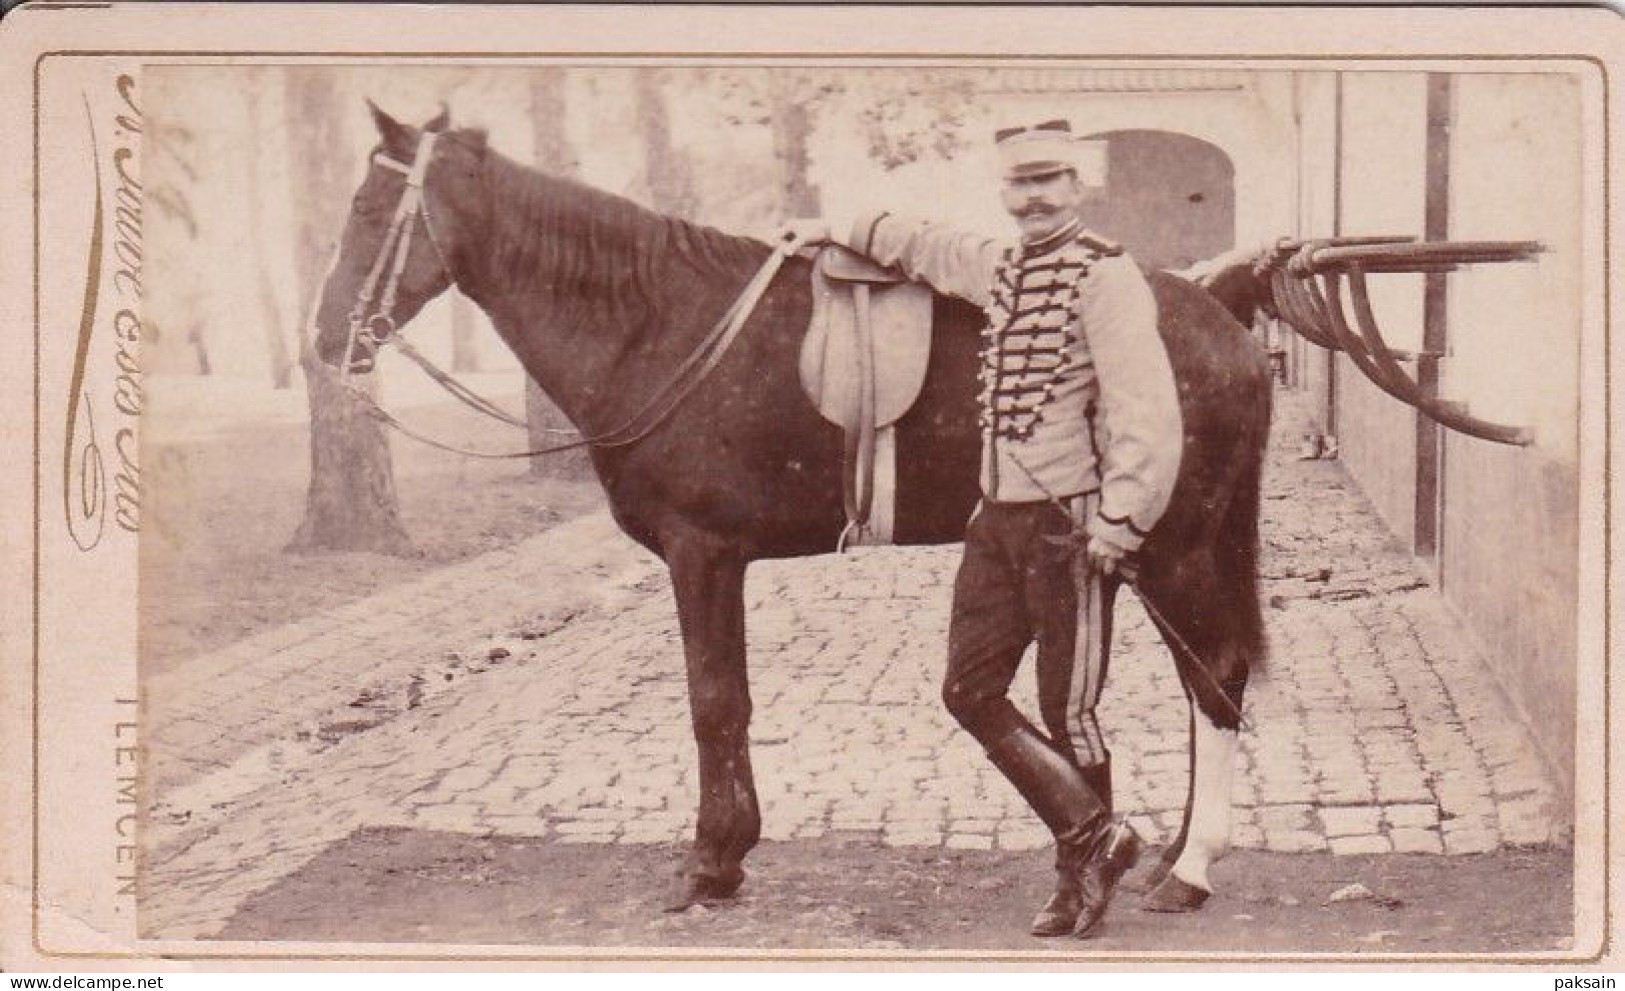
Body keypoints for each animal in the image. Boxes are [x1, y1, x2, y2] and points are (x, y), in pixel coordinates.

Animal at [313, 108, 1267, 909]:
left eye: (366, 206)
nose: (323, 340)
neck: (655, 324)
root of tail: (1220, 317)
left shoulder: (699, 554)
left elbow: (711, 701)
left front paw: (708, 862)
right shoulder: (718, 560)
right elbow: (729, 699)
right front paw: (730, 853)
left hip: (1169, 550)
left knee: (1214, 676)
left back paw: (1186, 868)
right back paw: (1144, 851)